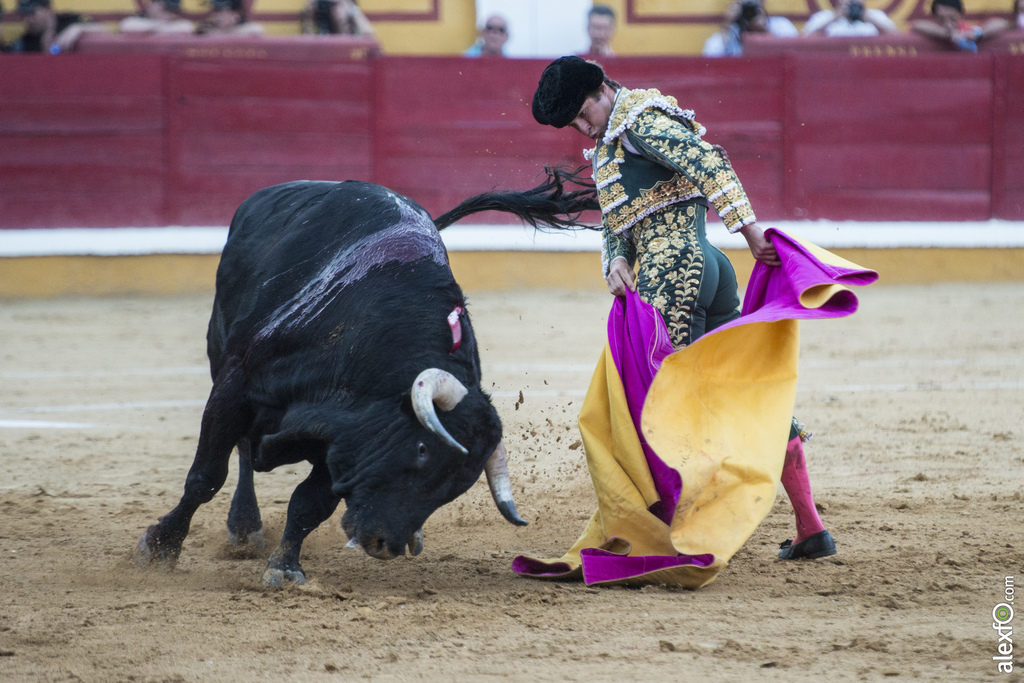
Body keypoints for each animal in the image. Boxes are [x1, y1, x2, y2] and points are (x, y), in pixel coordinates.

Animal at [136, 174, 598, 585]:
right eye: (422, 449)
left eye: (457, 486)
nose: (384, 543)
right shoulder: (238, 385)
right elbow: (205, 478)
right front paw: (159, 547)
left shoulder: (347, 441)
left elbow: (309, 504)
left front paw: (285, 567)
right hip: (219, 350)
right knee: (244, 450)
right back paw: (243, 526)